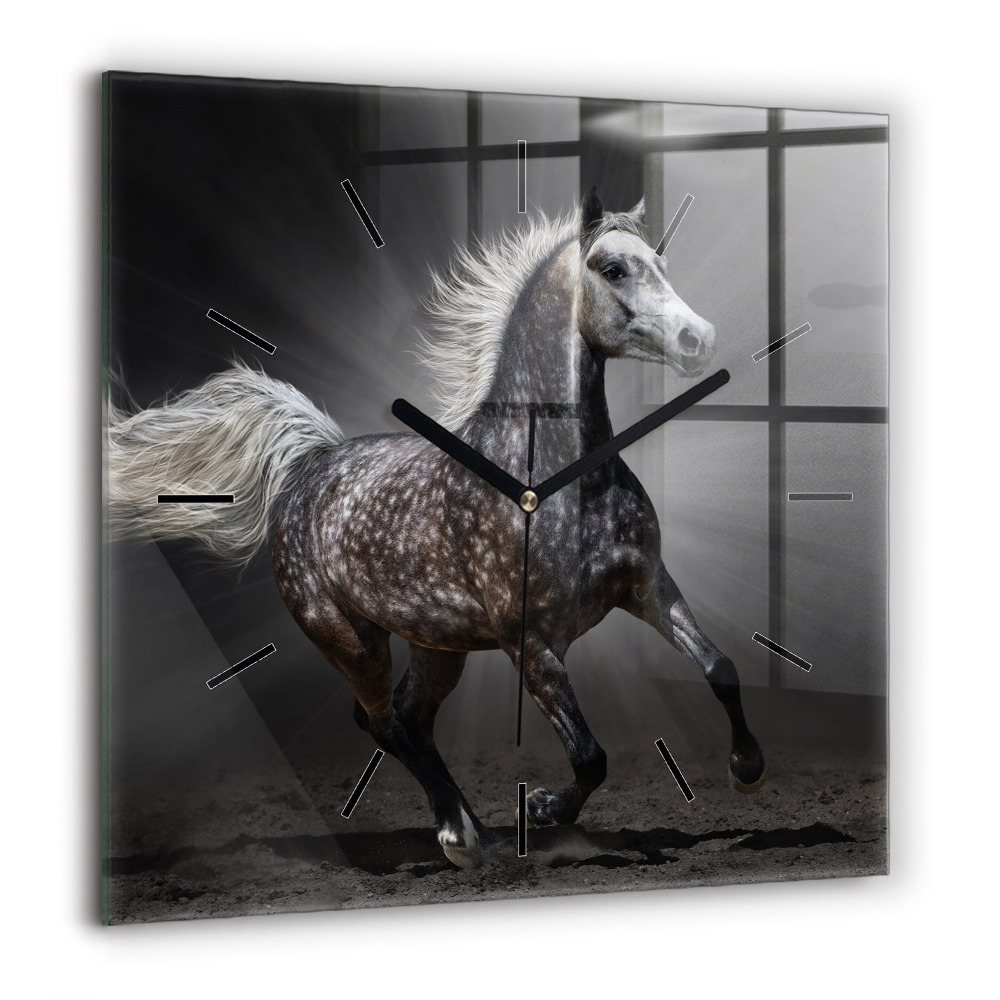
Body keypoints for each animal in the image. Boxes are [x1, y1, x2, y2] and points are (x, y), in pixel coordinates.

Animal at [108, 189, 765, 869]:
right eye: (613, 269)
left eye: (660, 263)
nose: (698, 338)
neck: (554, 478)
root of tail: (311, 465)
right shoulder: (531, 644)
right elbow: (590, 757)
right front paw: (542, 809)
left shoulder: (648, 587)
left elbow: (720, 669)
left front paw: (747, 768)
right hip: (350, 640)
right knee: (381, 721)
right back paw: (458, 833)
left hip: (437, 645)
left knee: (410, 719)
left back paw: (476, 829)